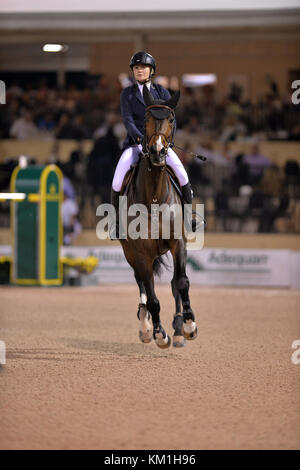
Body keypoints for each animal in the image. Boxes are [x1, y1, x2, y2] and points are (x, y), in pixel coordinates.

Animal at [118, 85, 198, 348]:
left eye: (171, 119)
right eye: (146, 118)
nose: (157, 151)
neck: (154, 195)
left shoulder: (178, 242)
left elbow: (181, 282)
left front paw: (189, 326)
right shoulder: (141, 252)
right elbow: (152, 296)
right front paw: (159, 333)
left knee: (173, 284)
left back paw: (178, 329)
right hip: (131, 253)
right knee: (143, 285)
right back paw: (146, 327)